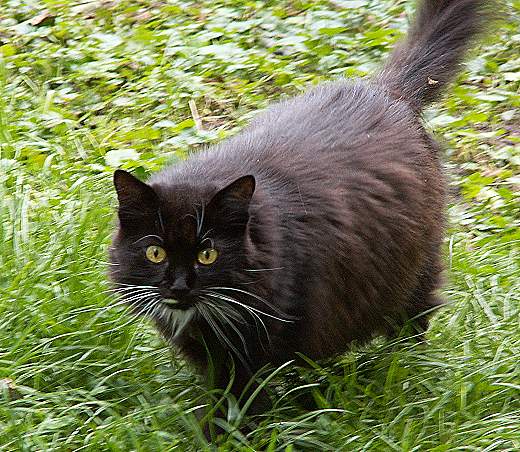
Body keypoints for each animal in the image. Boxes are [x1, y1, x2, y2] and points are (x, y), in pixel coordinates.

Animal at [108, 0, 496, 426]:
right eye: (155, 252)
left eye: (208, 254)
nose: (178, 286)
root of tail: (385, 91)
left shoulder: (254, 343)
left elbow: (238, 401)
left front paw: (229, 431)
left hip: (412, 267)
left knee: (415, 317)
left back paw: (405, 368)